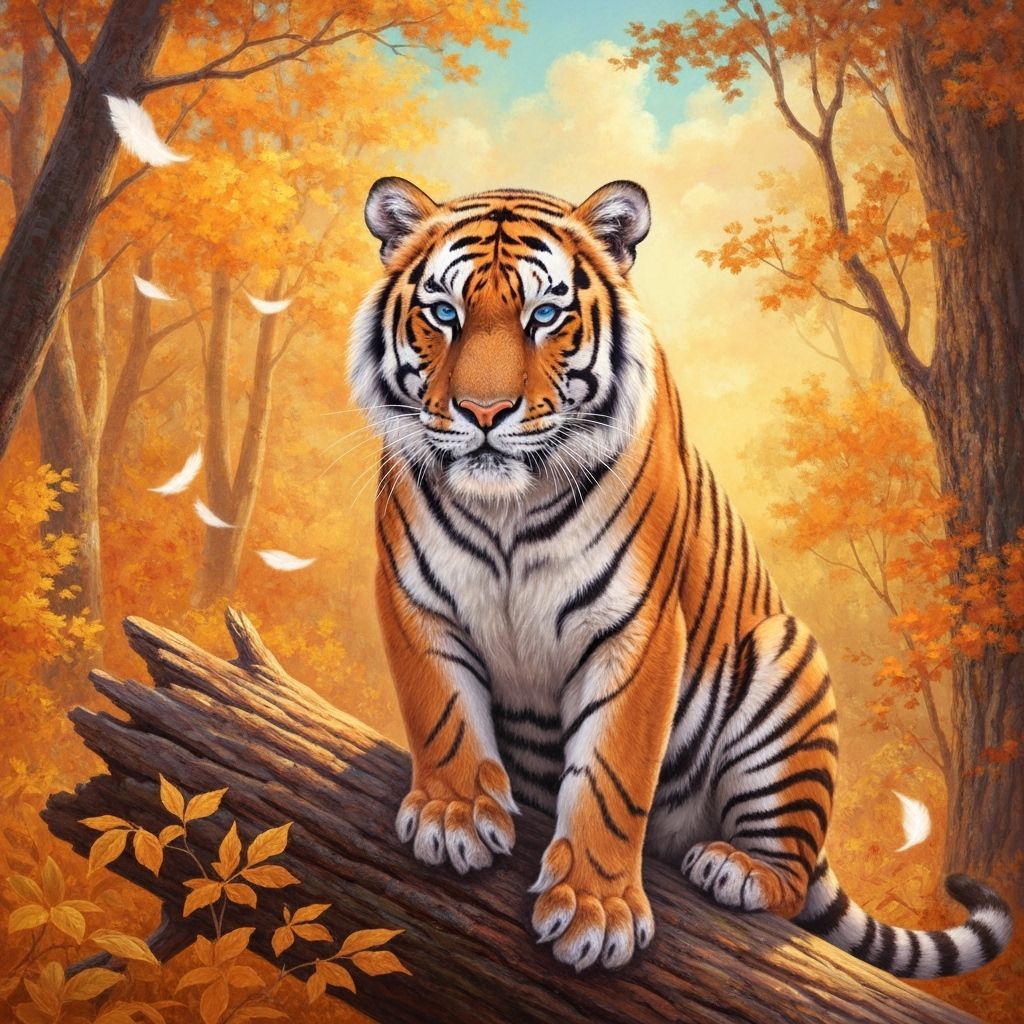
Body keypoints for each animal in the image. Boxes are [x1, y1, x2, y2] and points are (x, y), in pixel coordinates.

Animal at [347, 176, 1013, 976]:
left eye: (545, 315)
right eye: (444, 313)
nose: (483, 412)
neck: (508, 507)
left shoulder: (637, 628)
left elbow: (612, 776)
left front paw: (596, 912)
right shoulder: (416, 598)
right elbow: (442, 714)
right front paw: (455, 817)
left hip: (787, 664)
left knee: (790, 877)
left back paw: (739, 868)